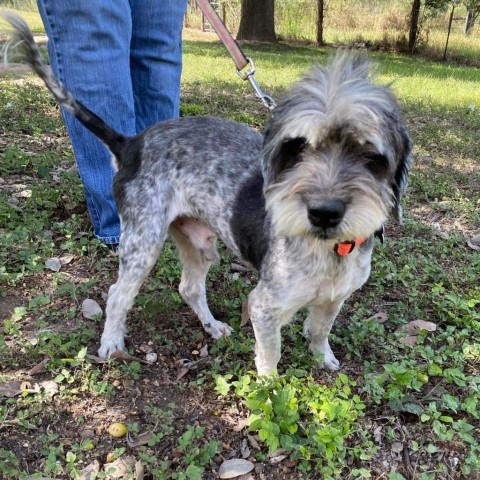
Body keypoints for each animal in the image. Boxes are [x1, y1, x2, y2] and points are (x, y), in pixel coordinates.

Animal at [1, 13, 410, 376]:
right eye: (296, 149)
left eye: (372, 157)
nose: (324, 212)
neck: (329, 250)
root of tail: (131, 143)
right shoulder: (264, 307)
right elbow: (270, 359)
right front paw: (269, 394)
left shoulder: (335, 297)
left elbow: (320, 331)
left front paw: (322, 357)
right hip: (142, 243)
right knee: (118, 293)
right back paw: (112, 342)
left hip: (196, 241)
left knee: (189, 289)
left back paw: (211, 326)